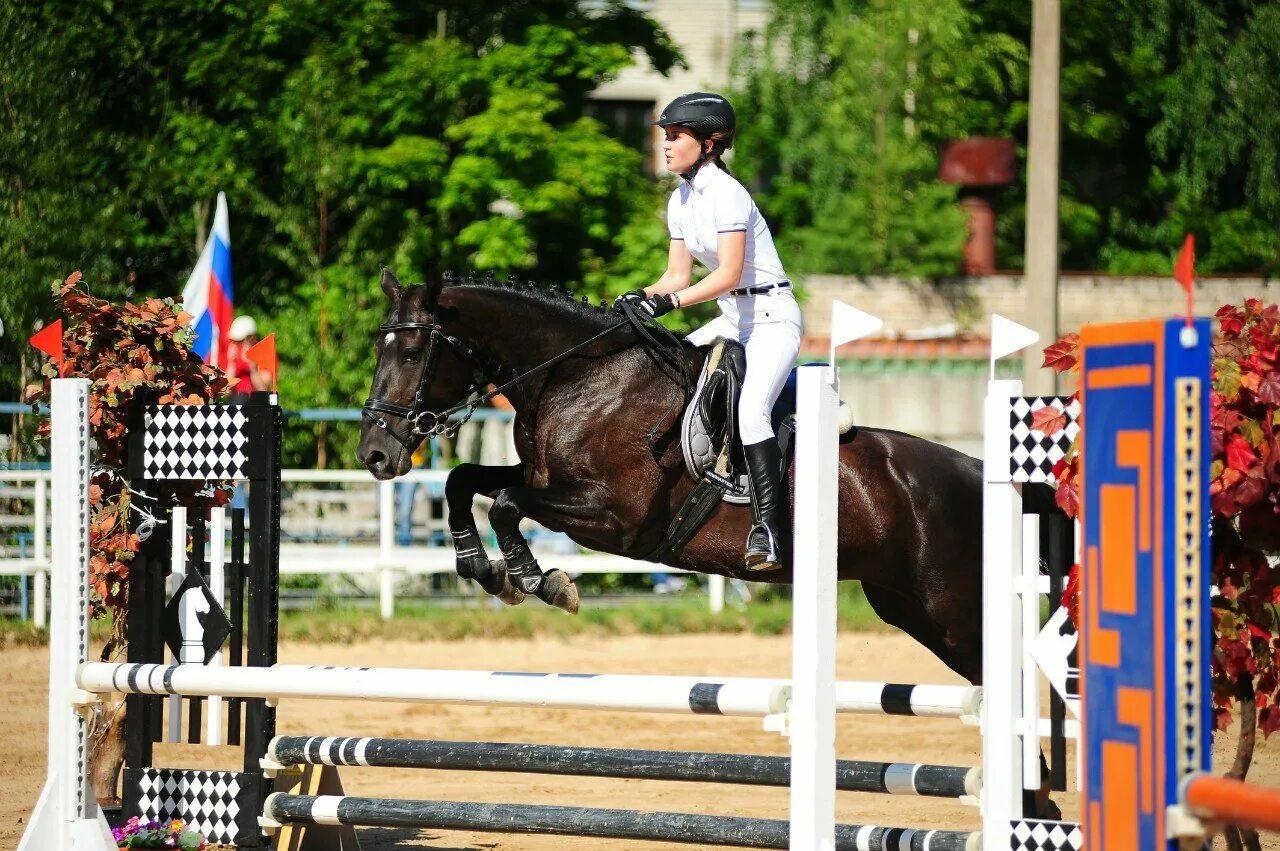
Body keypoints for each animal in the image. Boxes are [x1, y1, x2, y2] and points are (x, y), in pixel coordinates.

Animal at [355, 272, 983, 685]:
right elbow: (464, 481)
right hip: (906, 606)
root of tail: (975, 472)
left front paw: (540, 581)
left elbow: (507, 503)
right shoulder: (543, 477)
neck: (575, 376)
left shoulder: (613, 516)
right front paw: (481, 569)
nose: (375, 455)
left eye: (411, 353)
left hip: (951, 612)